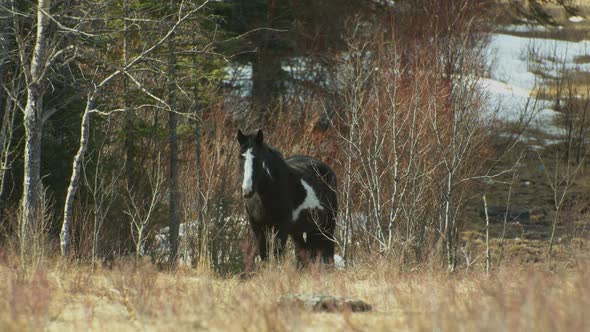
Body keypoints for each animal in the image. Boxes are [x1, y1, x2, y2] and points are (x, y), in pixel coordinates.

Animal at [236, 128, 338, 266]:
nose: (247, 190)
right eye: (240, 157)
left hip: (327, 226)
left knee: (328, 256)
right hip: (301, 230)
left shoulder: (281, 228)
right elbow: (264, 255)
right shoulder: (257, 228)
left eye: (257, 159)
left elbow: (277, 254)